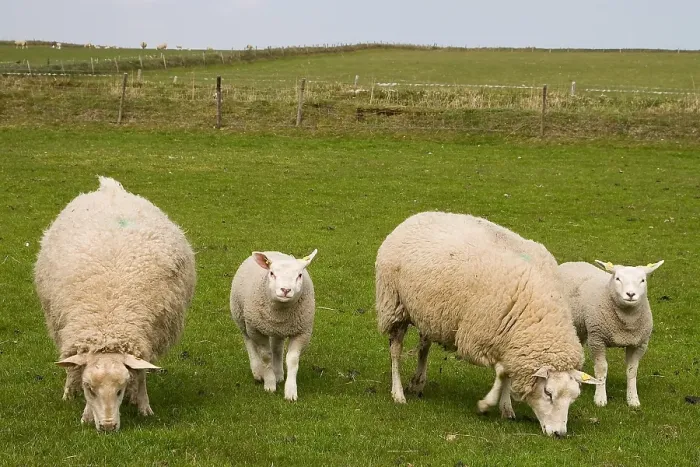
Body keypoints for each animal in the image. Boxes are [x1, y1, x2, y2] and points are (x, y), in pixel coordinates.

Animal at [34, 176, 196, 431]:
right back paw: (68, 392)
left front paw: (143, 405)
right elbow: (77, 369)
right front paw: (86, 413)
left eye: (119, 390)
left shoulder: (144, 339)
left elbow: (140, 375)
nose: (108, 427)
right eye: (89, 389)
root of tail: (109, 188)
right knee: (70, 364)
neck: (108, 324)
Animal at [230, 249, 318, 402]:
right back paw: (258, 372)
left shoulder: (302, 332)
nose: (285, 290)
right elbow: (266, 356)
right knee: (249, 342)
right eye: (271, 273)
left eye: (299, 275)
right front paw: (269, 384)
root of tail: (272, 252)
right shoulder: (257, 330)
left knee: (277, 348)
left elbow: (292, 360)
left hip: (278, 330)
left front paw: (290, 391)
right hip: (242, 319)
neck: (280, 312)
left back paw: (278, 374)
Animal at [375, 212, 600, 437]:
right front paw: (486, 404)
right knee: (395, 351)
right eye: (548, 392)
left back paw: (418, 382)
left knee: (424, 346)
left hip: (428, 312)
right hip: (394, 304)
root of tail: (415, 217)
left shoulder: (512, 342)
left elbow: (506, 373)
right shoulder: (478, 338)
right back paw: (398, 393)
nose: (559, 434)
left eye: (573, 397)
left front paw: (506, 408)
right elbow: (501, 373)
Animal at [558, 259, 664, 407]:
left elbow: (632, 370)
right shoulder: (597, 339)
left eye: (642, 280)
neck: (626, 322)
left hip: (581, 326)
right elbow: (601, 368)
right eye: (617, 278)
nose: (630, 294)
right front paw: (600, 398)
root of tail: (572, 262)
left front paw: (633, 399)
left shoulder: (639, 344)